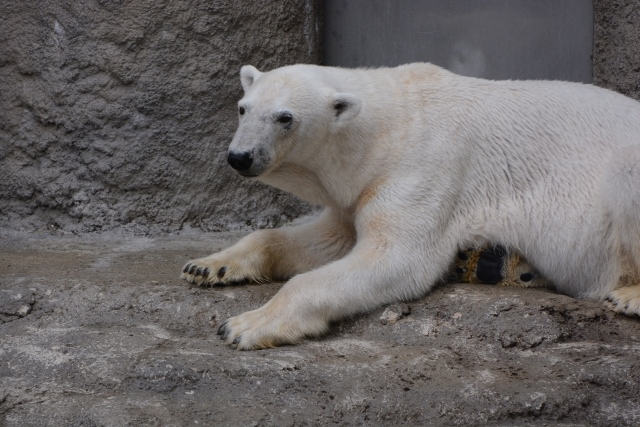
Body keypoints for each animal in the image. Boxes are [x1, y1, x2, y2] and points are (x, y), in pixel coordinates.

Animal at [179, 64, 640, 352]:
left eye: (285, 117)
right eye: (243, 108)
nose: (240, 157)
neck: (391, 126)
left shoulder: (423, 166)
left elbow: (398, 257)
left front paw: (243, 325)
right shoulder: (360, 189)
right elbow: (329, 238)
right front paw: (207, 266)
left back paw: (626, 296)